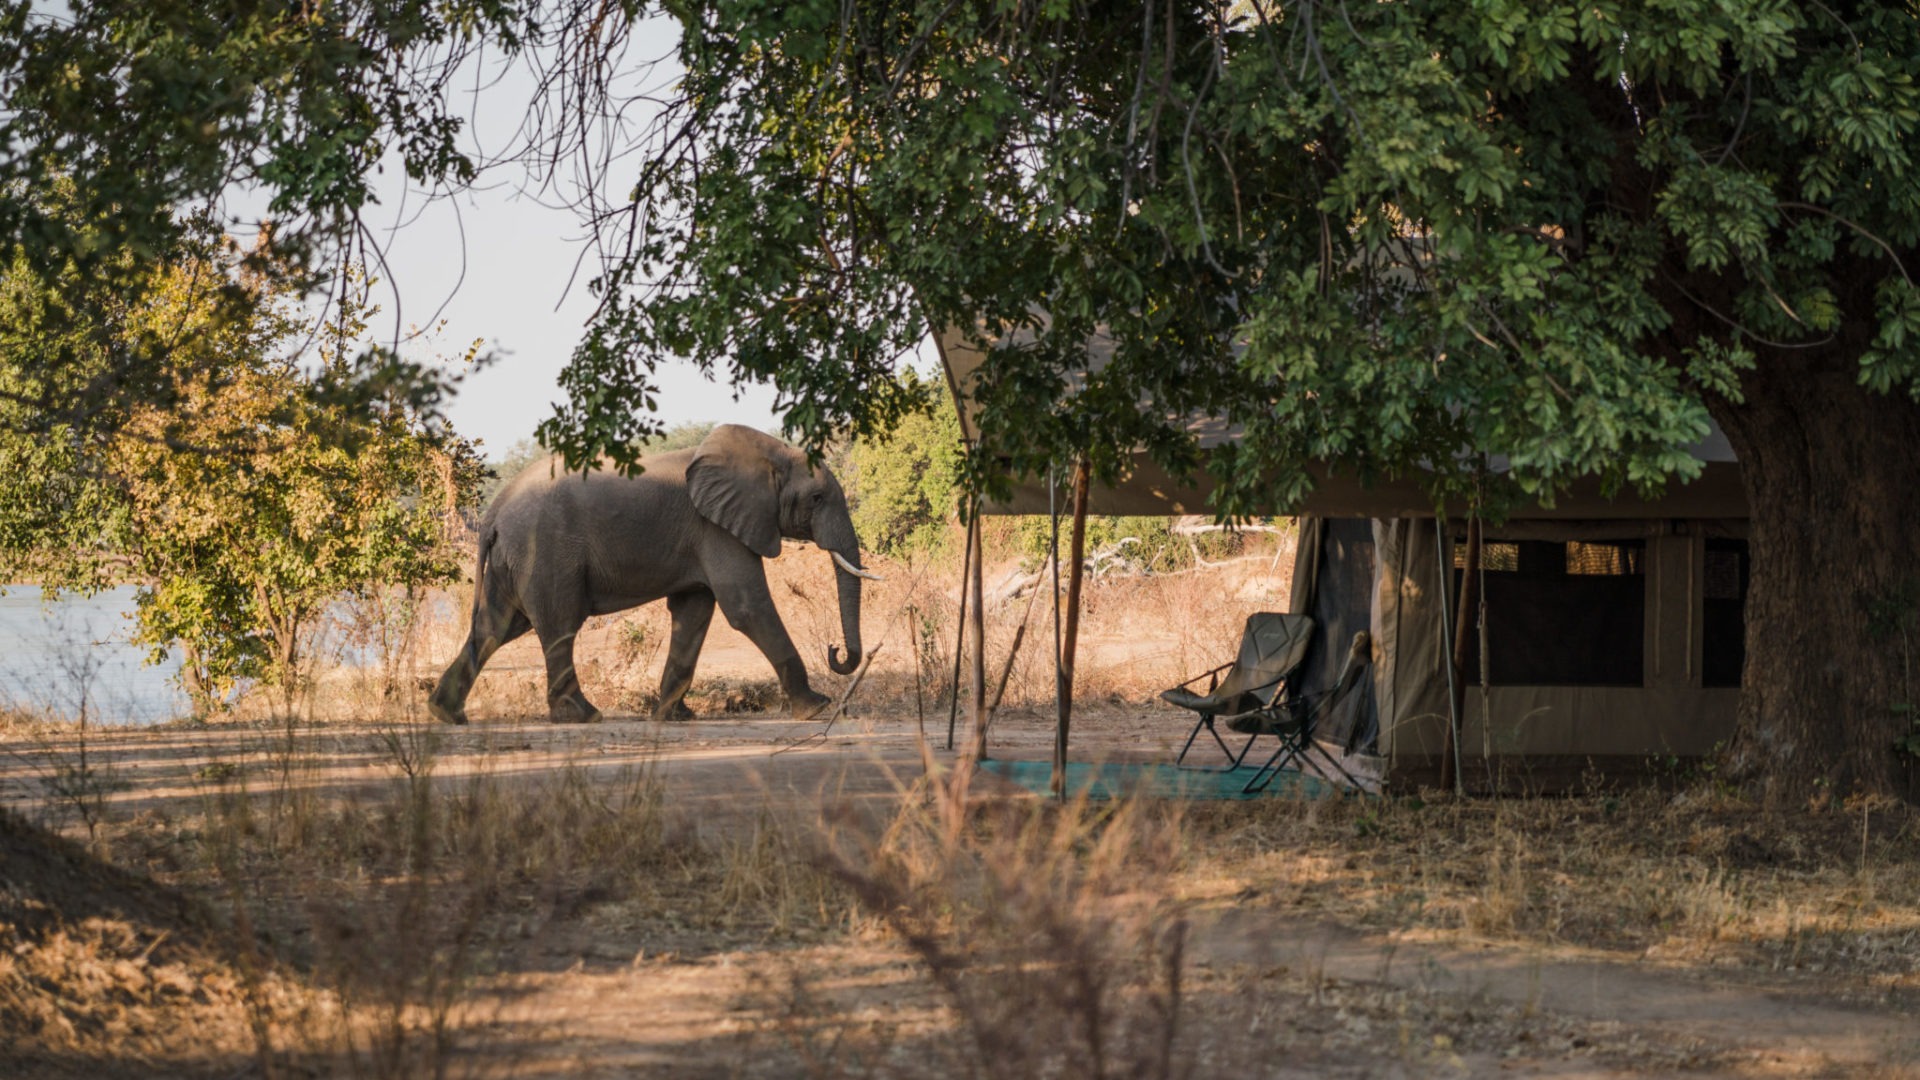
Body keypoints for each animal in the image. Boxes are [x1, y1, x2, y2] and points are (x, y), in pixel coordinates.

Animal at [427, 423, 880, 726]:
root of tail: (492, 514)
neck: (770, 452)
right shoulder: (714, 529)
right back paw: (584, 717)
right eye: (817, 498)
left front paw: (674, 716)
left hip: (515, 558)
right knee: (558, 624)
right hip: (545, 552)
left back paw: (446, 715)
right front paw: (817, 708)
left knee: (496, 627)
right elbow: (746, 606)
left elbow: (694, 612)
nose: (836, 651)